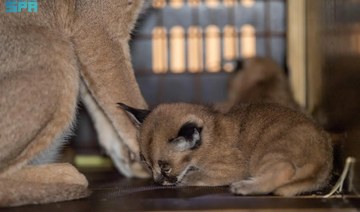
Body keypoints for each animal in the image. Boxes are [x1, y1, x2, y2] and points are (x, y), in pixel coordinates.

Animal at [119, 102, 334, 196]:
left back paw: (245, 187)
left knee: (284, 169)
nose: (157, 181)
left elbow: (199, 175)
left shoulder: (235, 167)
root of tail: (324, 156)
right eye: (147, 165)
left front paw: (188, 178)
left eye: (165, 167)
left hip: (264, 154)